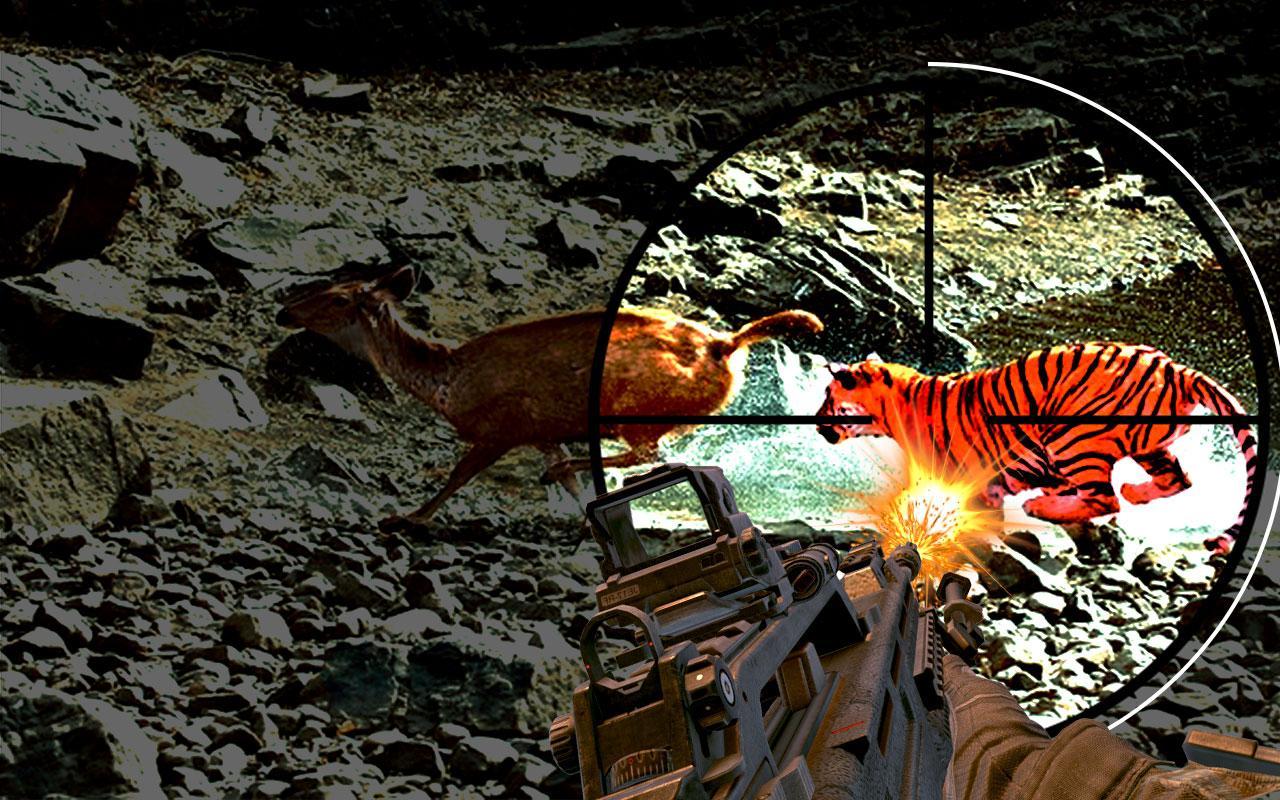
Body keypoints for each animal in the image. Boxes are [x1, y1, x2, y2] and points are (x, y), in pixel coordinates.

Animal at [815, 342, 1257, 554]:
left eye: (827, 396)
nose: (817, 425)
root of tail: (1175, 368)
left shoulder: (972, 482)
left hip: (1071, 434)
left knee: (1105, 497)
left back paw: (1042, 507)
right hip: (1149, 445)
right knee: (1177, 479)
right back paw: (1130, 493)